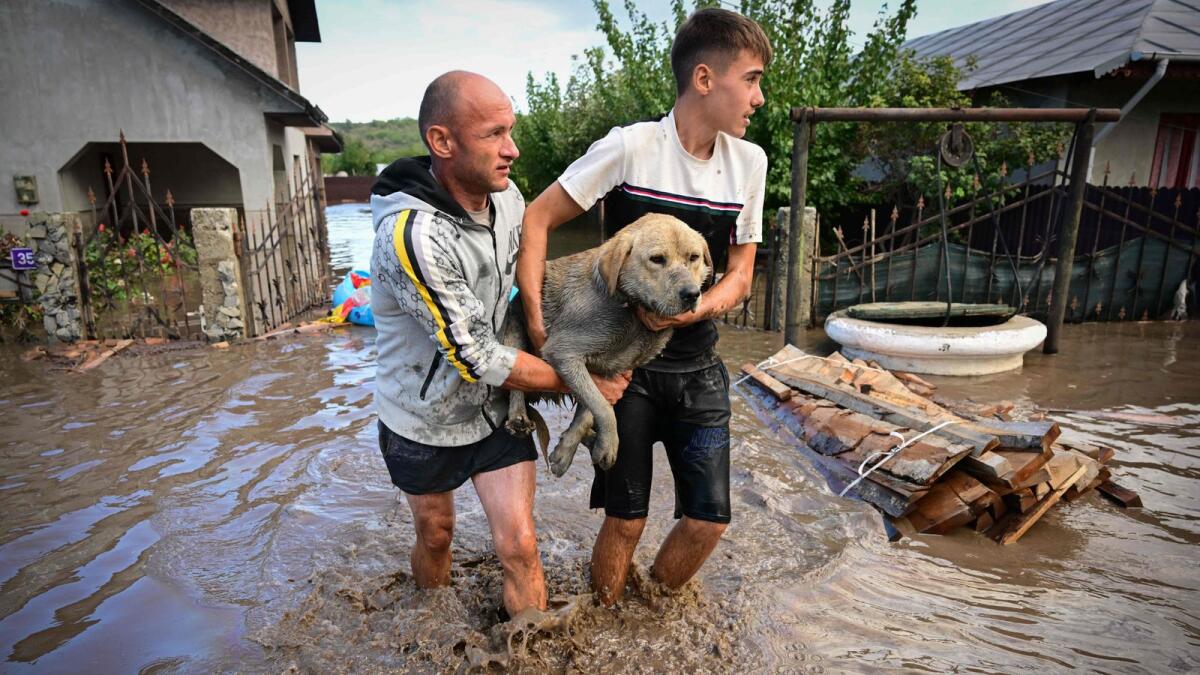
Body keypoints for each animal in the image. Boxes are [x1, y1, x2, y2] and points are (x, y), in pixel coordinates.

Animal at [499, 212, 705, 475]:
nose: (691, 294)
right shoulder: (563, 352)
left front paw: (567, 451)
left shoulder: (610, 372)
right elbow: (603, 408)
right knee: (514, 385)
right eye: (657, 259)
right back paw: (518, 416)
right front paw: (608, 444)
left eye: (694, 257)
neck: (630, 310)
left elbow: (591, 408)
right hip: (514, 332)